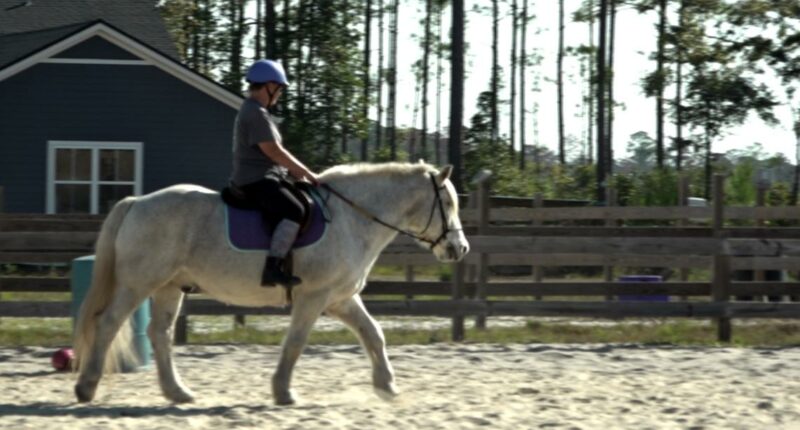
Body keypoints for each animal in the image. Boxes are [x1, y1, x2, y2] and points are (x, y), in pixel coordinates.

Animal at [72, 162, 470, 405]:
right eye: (448, 204)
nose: (460, 248)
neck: (351, 219)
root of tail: (137, 201)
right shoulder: (314, 297)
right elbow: (295, 342)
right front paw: (282, 392)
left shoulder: (340, 298)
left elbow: (374, 334)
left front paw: (387, 386)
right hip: (138, 285)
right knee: (108, 324)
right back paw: (86, 387)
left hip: (168, 288)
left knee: (160, 334)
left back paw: (178, 392)